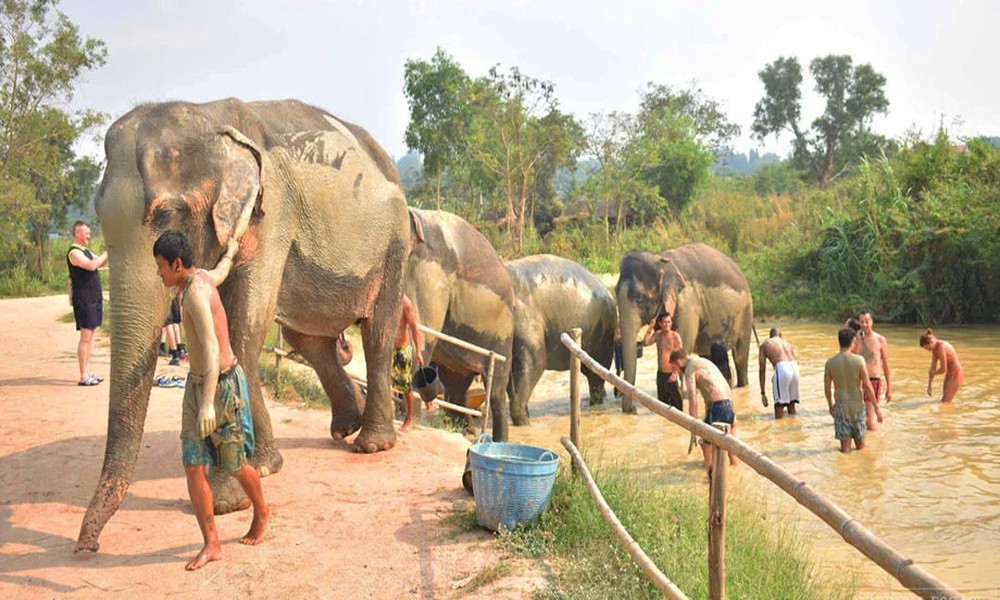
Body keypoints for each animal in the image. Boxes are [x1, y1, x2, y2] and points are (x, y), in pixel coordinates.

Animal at [76, 98, 411, 553]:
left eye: (167, 214)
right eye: (97, 213)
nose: (88, 547)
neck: (213, 119)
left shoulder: (272, 214)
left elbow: (242, 326)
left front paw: (227, 500)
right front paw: (265, 467)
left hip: (394, 244)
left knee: (377, 332)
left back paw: (371, 444)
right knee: (309, 338)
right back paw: (346, 427)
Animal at [405, 209, 513, 441]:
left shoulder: (429, 270)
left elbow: (419, 336)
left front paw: (409, 423)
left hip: (503, 334)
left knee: (497, 392)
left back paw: (497, 441)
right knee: (456, 388)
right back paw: (464, 431)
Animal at [505, 255, 617, 424]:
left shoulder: (524, 314)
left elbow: (536, 360)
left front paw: (523, 422)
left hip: (602, 334)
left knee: (596, 375)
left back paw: (594, 404)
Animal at [616, 243, 753, 413]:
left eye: (640, 298)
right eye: (615, 292)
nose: (633, 409)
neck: (660, 260)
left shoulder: (687, 302)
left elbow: (683, 344)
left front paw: (680, 394)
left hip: (746, 314)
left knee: (740, 356)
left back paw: (741, 386)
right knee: (709, 356)